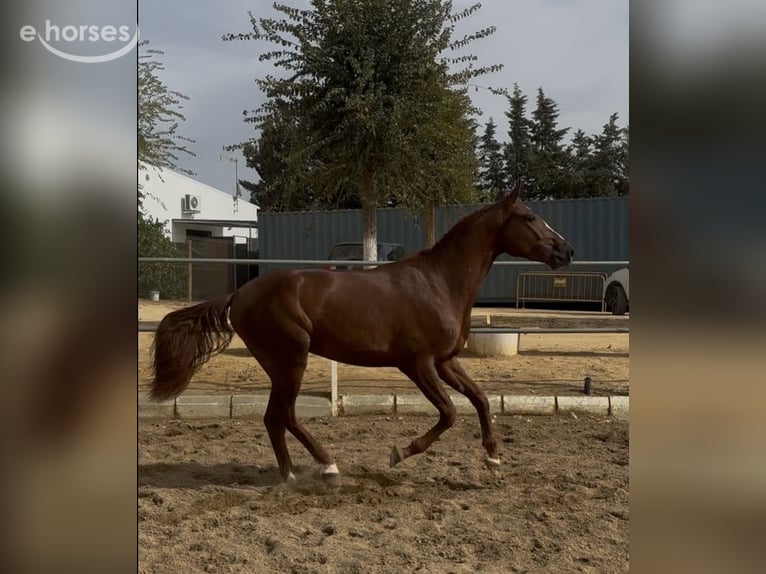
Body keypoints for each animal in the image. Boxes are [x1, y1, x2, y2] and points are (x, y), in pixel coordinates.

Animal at [149, 181, 574, 483]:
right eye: (530, 218)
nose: (566, 251)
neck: (439, 282)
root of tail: (239, 294)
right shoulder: (417, 364)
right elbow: (450, 412)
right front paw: (399, 453)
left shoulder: (445, 361)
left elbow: (481, 399)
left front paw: (494, 457)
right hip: (291, 361)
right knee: (283, 415)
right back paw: (326, 465)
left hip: (281, 365)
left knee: (275, 418)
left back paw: (291, 475)